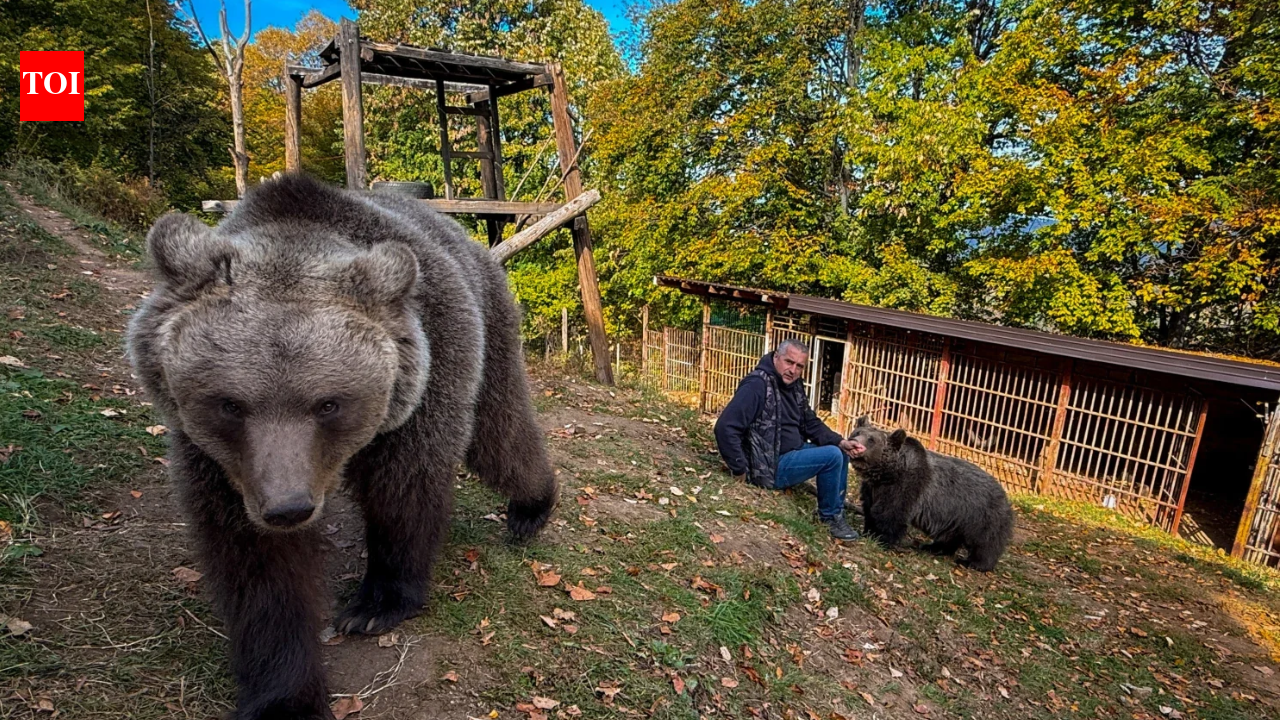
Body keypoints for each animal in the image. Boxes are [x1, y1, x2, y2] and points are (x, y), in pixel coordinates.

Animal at [125, 173, 558, 719]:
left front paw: (375, 606)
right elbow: (258, 567)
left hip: (491, 328)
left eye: (328, 403)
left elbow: (404, 491)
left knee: (499, 433)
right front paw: (286, 696)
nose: (288, 507)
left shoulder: (428, 377)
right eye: (229, 404)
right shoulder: (222, 464)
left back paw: (531, 507)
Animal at [845, 417, 1014, 572]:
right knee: (950, 536)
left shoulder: (906, 487)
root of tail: (1006, 497)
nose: (854, 442)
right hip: (956, 516)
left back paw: (974, 563)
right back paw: (933, 547)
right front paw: (868, 532)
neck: (886, 473)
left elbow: (890, 514)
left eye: (871, 440)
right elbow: (870, 510)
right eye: (857, 432)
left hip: (981, 515)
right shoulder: (872, 489)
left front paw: (883, 539)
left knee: (985, 542)